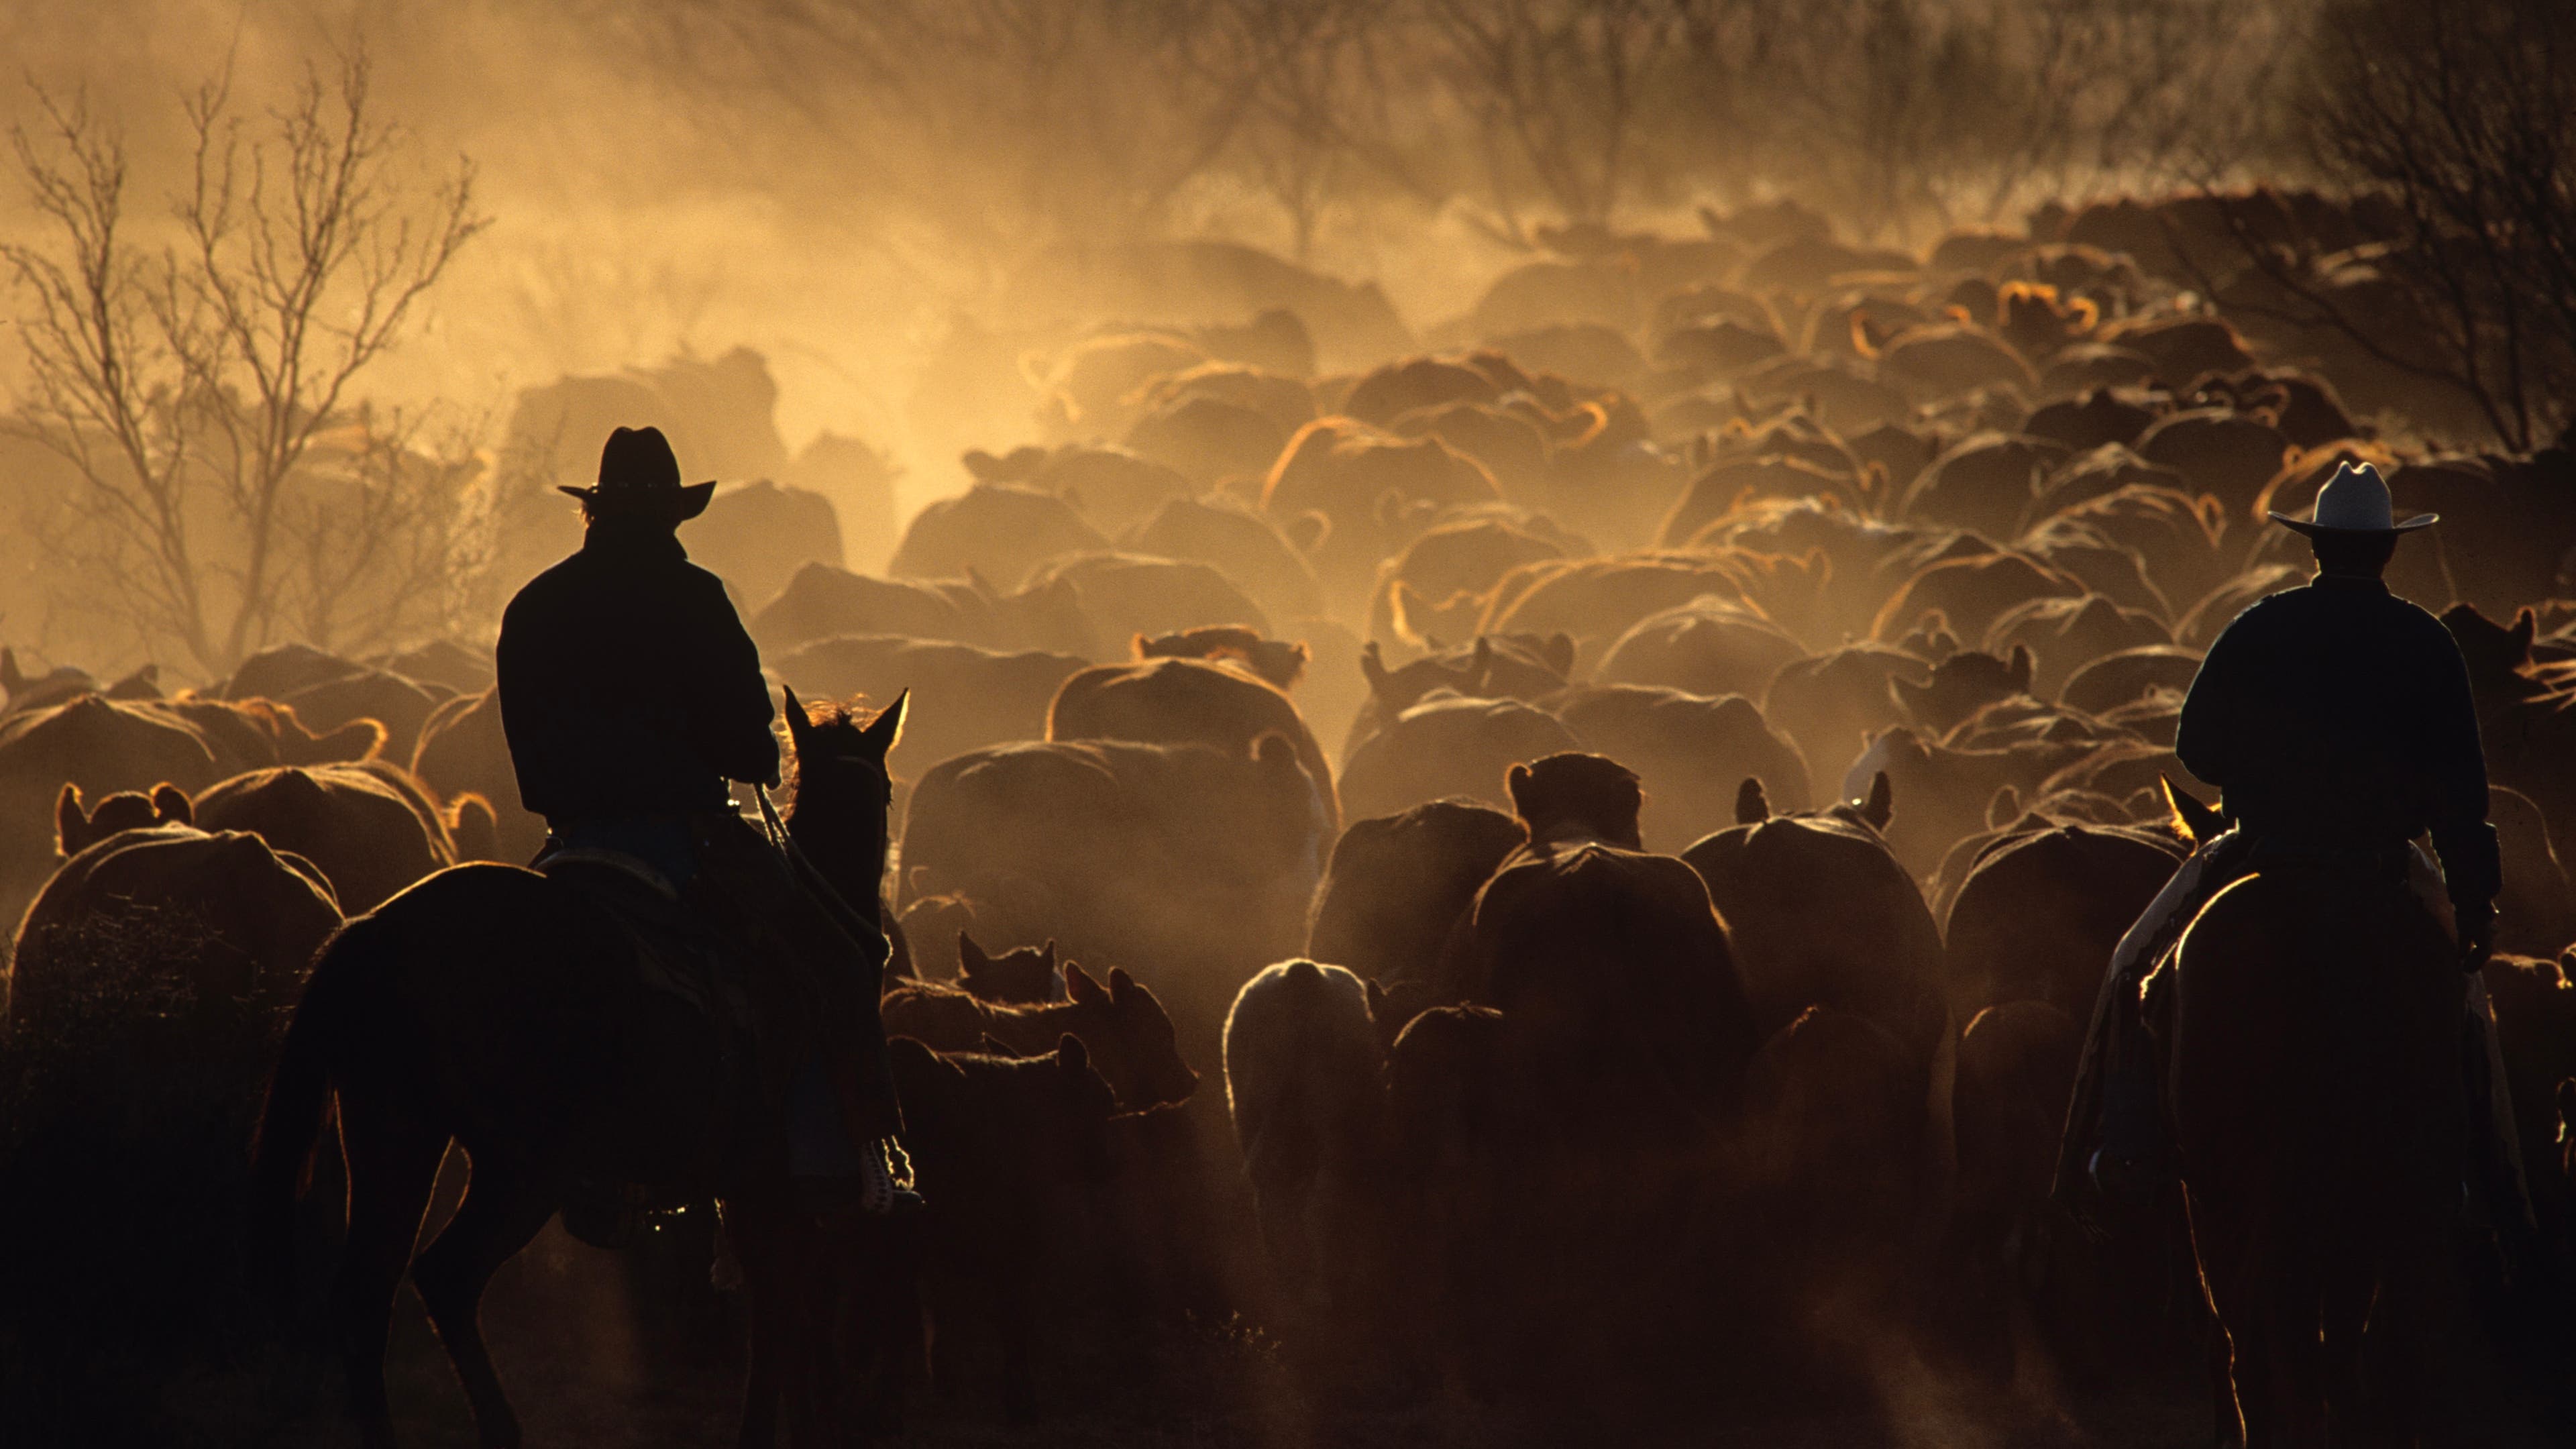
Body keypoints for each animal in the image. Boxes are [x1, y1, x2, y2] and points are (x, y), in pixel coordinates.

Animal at [251, 680, 912, 1433]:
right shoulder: (769, 1191)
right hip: (524, 1167)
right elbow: (779, 1329)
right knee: (446, 1279)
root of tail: (371, 934)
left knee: (366, 1297)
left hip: (395, 1134)